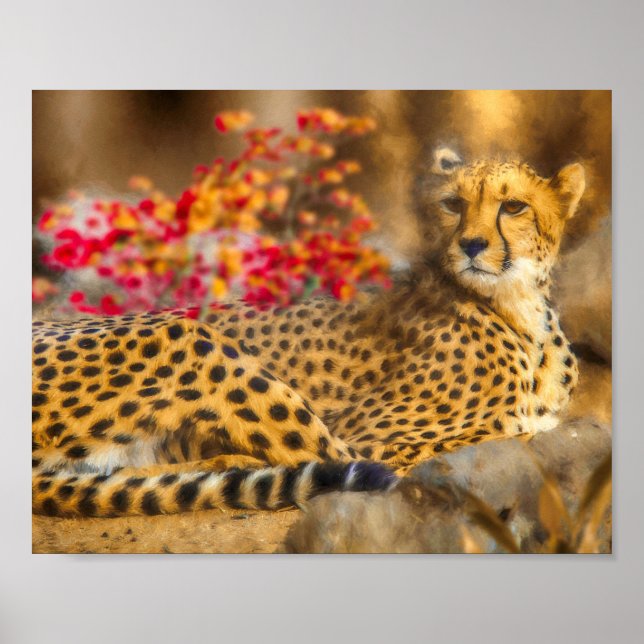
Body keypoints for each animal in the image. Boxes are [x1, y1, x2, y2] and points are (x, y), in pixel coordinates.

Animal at [32, 147, 586, 518]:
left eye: (513, 206)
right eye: (453, 204)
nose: (471, 245)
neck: (520, 309)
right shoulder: (375, 438)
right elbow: (498, 434)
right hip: (188, 337)